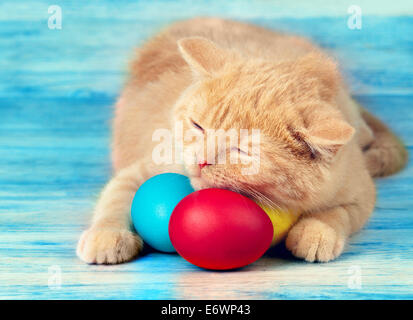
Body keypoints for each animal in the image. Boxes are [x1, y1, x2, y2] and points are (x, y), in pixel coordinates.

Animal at [76, 17, 406, 264]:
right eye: (197, 125)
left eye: (241, 152)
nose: (200, 161)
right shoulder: (144, 166)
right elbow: (117, 196)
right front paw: (106, 234)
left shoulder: (358, 189)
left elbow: (339, 212)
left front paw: (316, 232)